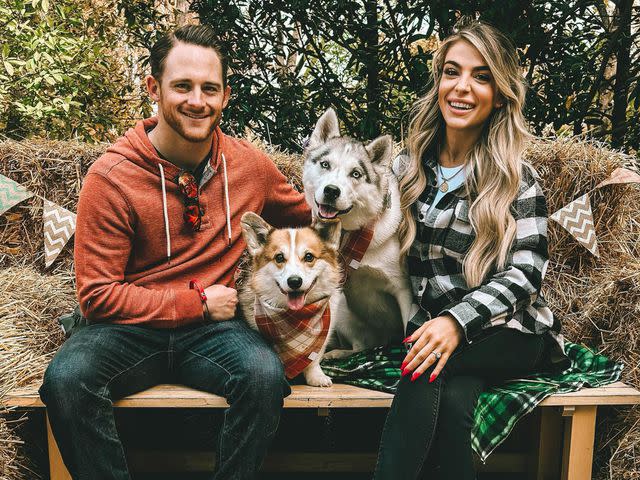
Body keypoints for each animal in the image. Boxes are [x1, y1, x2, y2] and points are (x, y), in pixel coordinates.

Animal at [238, 213, 342, 386]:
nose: (294, 281)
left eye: (309, 257)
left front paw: (317, 376)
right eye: (279, 257)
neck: (297, 318)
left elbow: (314, 358)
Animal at [302, 108, 412, 356]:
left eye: (355, 174)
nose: (332, 191)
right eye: (325, 164)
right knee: (358, 346)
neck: (349, 232)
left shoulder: (403, 290)